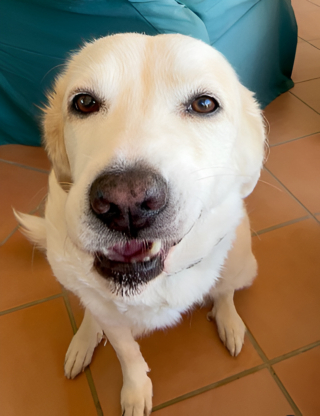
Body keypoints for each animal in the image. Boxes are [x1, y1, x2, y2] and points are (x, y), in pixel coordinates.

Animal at [15, 35, 264, 416]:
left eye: (204, 104)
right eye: (84, 102)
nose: (126, 203)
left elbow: (221, 291)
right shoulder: (112, 318)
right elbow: (127, 353)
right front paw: (135, 390)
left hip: (242, 261)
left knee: (225, 290)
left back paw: (229, 321)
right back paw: (85, 337)